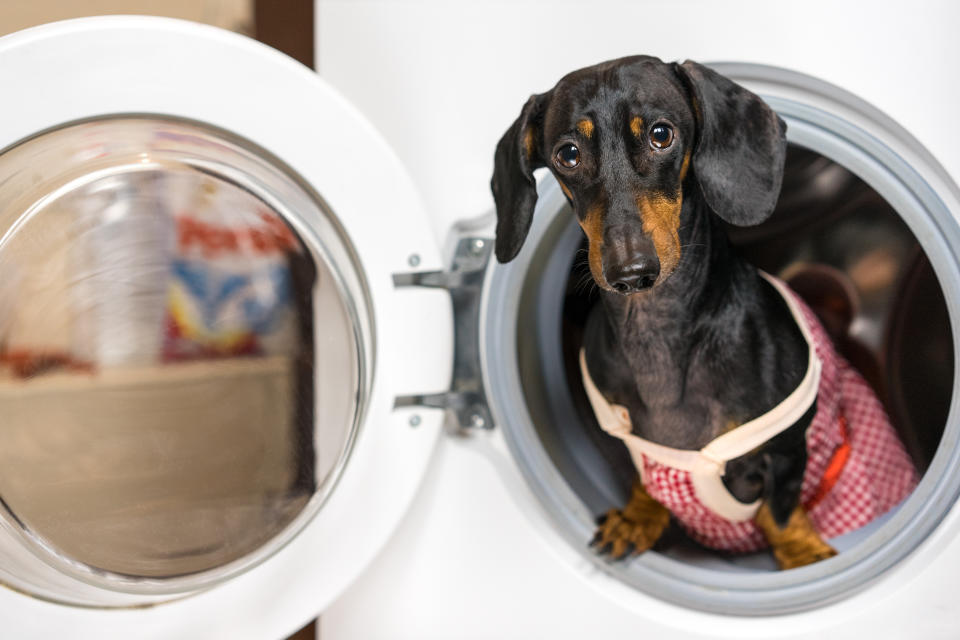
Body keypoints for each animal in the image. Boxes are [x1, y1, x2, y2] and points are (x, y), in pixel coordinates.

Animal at [492, 57, 920, 568]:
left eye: (661, 134)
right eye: (568, 154)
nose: (630, 271)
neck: (658, 331)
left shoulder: (787, 450)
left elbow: (780, 510)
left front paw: (802, 553)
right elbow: (644, 480)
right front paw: (638, 518)